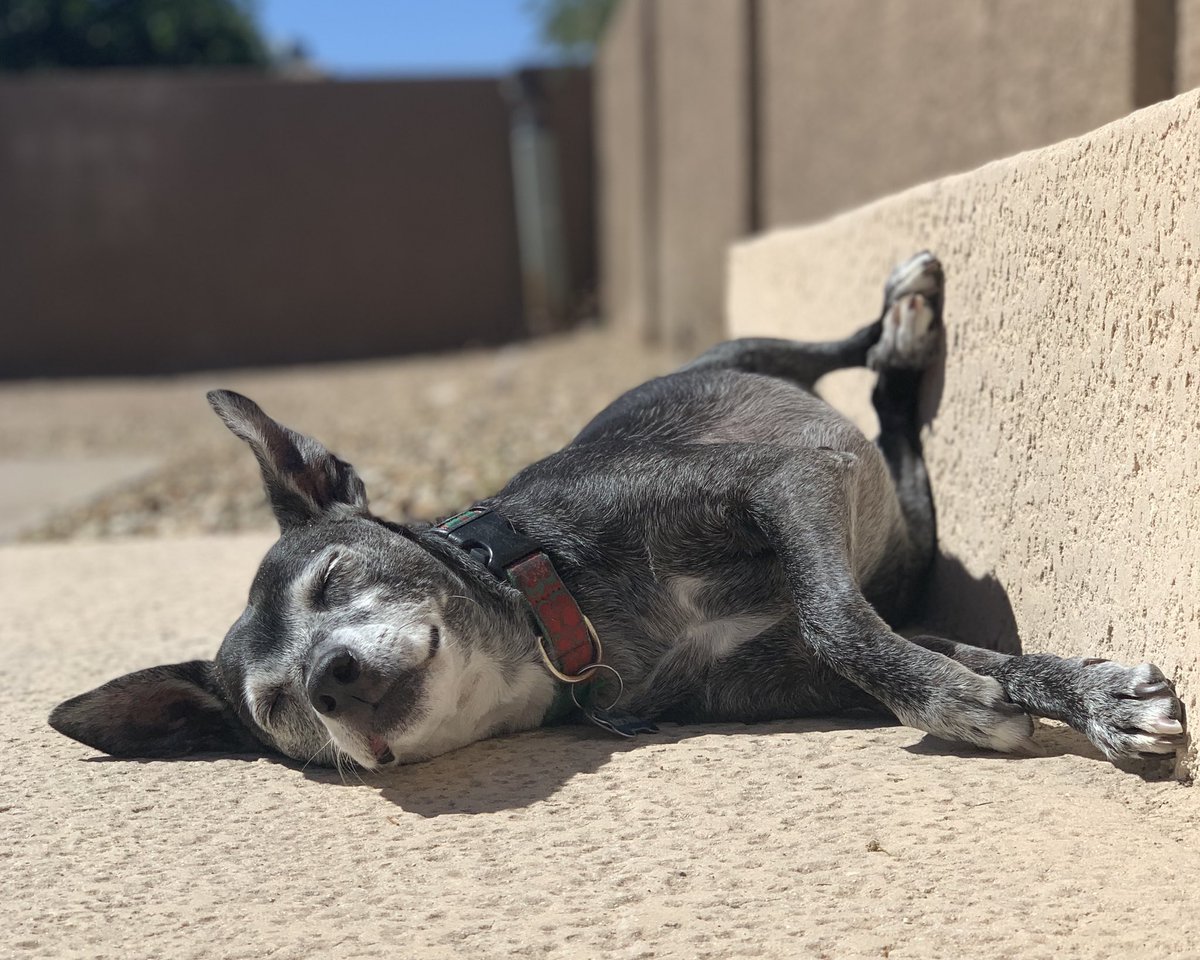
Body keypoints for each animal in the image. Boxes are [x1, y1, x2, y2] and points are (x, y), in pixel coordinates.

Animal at [51, 250, 1185, 768]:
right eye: (281, 709)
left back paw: (902, 324)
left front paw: (980, 696)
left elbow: (834, 613)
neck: (564, 602)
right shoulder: (817, 645)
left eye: (334, 578)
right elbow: (960, 655)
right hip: (901, 549)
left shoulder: (788, 477)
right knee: (901, 454)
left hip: (747, 360)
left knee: (834, 356)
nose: (330, 679)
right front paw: (1055, 695)